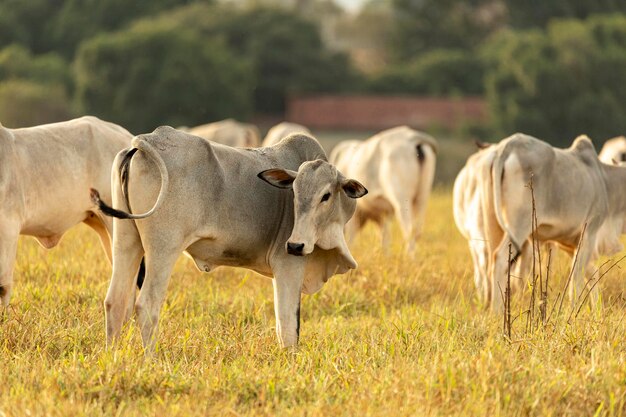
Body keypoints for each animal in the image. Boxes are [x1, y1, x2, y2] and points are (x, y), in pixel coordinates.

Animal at [91, 127, 366, 352]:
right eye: (295, 193)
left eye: (325, 195)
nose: (296, 244)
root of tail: (148, 140)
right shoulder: (289, 265)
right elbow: (288, 328)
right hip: (163, 248)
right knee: (147, 306)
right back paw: (151, 360)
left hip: (126, 241)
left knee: (115, 302)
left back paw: (112, 357)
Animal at [478, 133, 624, 312]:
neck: (605, 181)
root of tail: (508, 145)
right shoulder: (590, 232)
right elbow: (577, 276)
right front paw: (574, 309)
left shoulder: (570, 243)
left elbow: (590, 273)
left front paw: (597, 309)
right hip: (519, 226)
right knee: (499, 259)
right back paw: (498, 312)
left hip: (494, 226)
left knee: (491, 262)